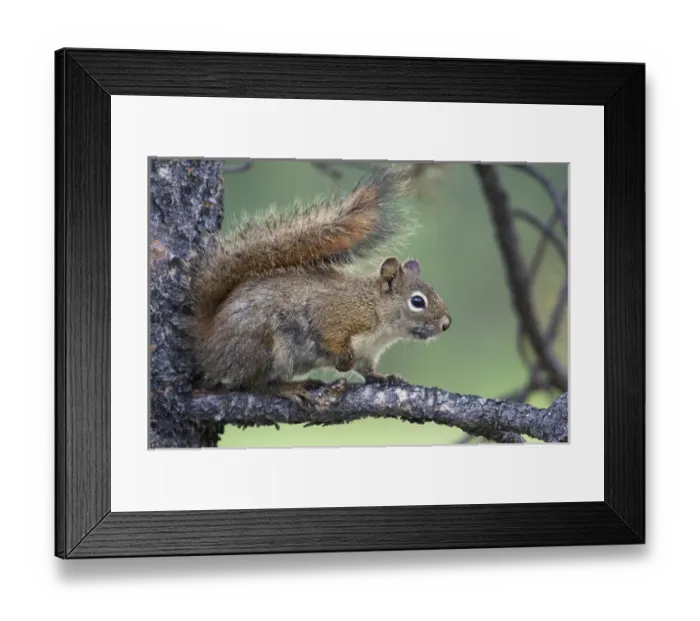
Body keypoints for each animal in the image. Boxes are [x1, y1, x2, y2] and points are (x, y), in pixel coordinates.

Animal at [185, 166, 452, 409]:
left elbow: (367, 371)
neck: (377, 312)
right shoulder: (336, 315)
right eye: (417, 301)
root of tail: (208, 342)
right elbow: (332, 337)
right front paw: (343, 362)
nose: (446, 324)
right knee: (251, 384)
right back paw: (289, 388)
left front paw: (383, 377)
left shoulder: (368, 353)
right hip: (263, 347)